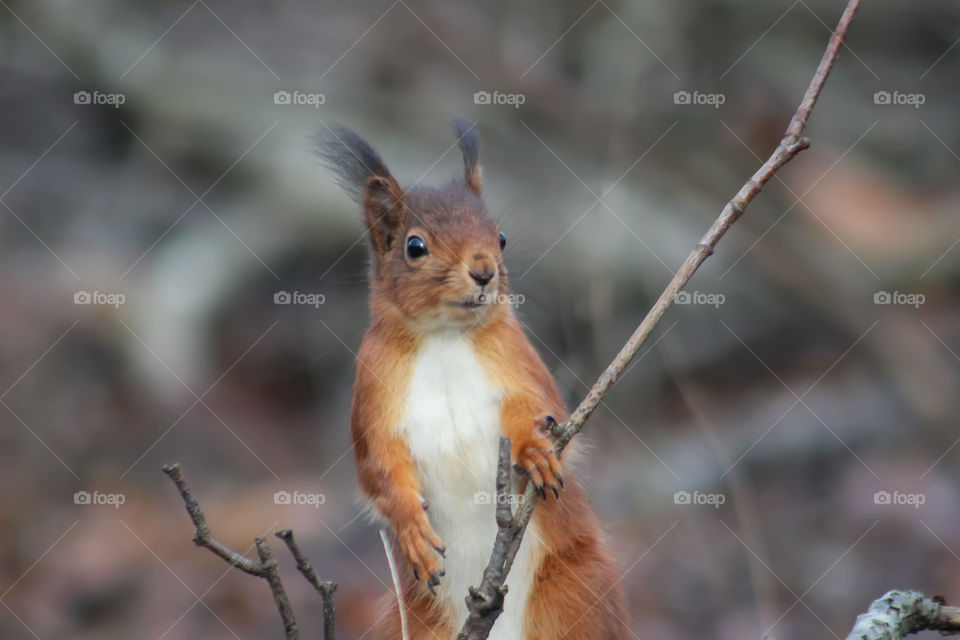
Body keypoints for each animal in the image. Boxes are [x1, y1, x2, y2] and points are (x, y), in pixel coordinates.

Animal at [320, 119, 629, 640]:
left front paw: (534, 450)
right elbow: (378, 469)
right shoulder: (374, 394)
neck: (445, 336)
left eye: (500, 236)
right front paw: (412, 530)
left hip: (577, 596)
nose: (484, 271)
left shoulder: (520, 364)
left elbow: (542, 410)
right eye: (415, 246)